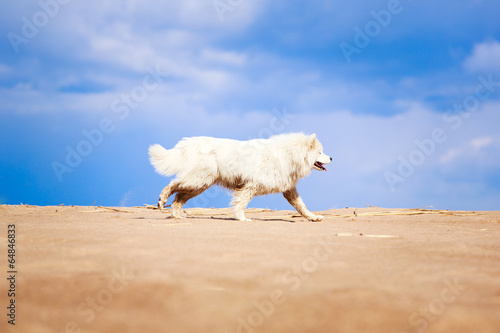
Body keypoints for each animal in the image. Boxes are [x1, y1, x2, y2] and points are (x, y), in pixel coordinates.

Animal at [148, 132, 330, 220]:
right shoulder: (250, 186)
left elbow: (302, 207)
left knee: (178, 198)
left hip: (199, 185)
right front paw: (242, 219)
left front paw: (313, 218)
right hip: (198, 181)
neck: (289, 155)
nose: (332, 158)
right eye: (320, 152)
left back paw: (176, 216)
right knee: (172, 185)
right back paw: (161, 201)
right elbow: (241, 204)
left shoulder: (289, 190)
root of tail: (191, 142)